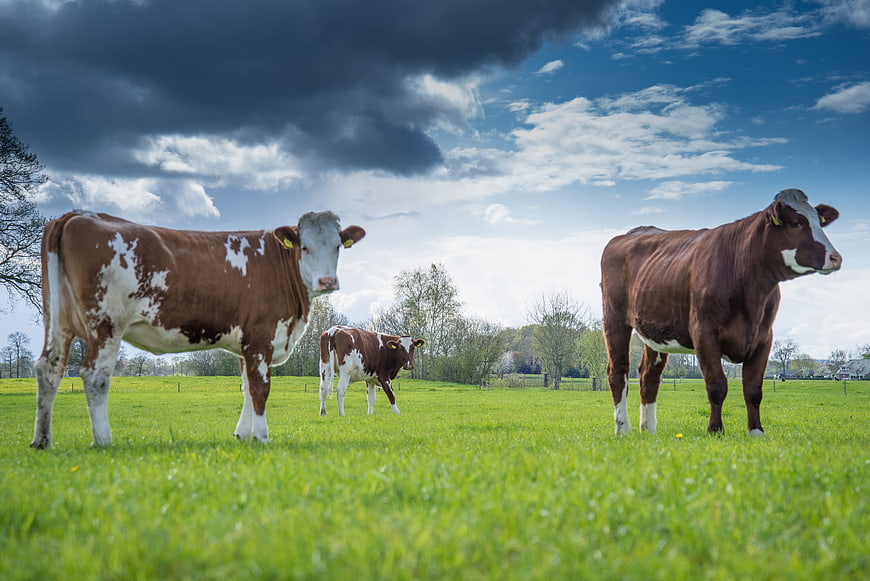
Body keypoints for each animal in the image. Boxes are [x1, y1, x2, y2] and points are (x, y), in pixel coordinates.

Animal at [31, 210, 365, 448]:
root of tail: (79, 215)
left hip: (58, 320)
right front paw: (262, 436)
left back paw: (42, 440)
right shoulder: (261, 336)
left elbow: (246, 388)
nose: (327, 281)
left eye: (337, 246)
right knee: (95, 376)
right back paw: (102, 440)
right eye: (304, 247)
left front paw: (242, 435)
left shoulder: (244, 343)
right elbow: (260, 388)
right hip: (106, 323)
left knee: (48, 368)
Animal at [600, 189, 841, 436]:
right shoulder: (704, 333)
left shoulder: (764, 337)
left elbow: (753, 390)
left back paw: (648, 431)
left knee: (649, 375)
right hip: (614, 317)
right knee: (618, 371)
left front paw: (756, 432)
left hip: (655, 330)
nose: (836, 257)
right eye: (796, 223)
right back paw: (623, 429)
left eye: (819, 221)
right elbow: (717, 385)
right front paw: (715, 430)